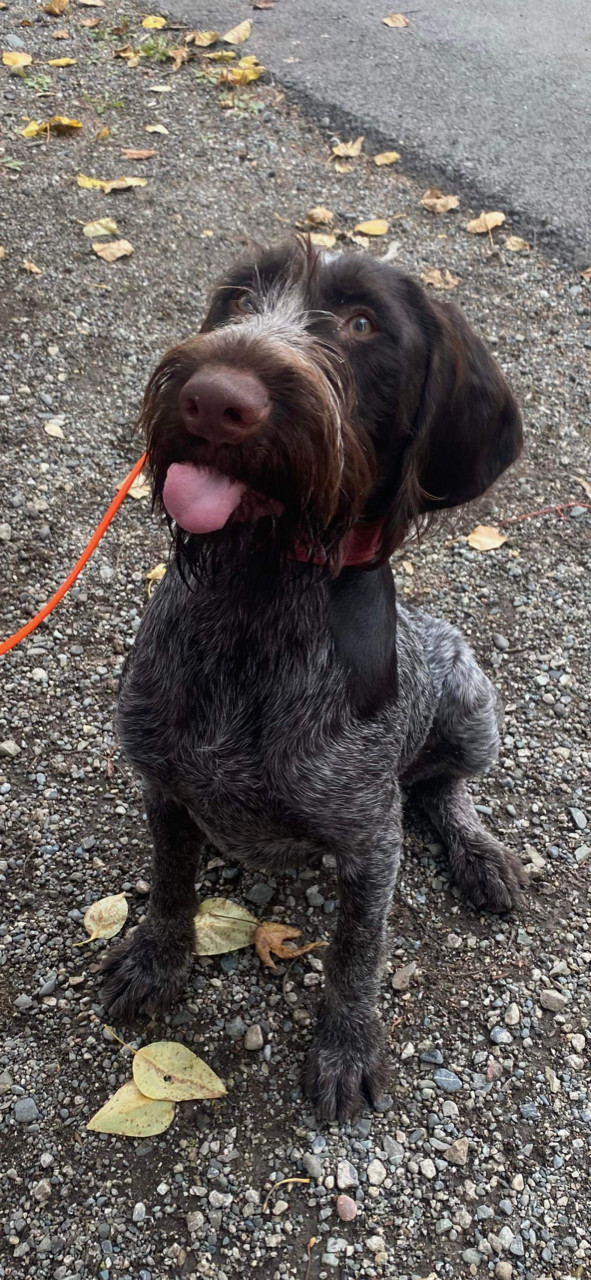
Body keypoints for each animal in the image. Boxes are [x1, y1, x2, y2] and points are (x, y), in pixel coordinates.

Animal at [101, 240, 527, 1121]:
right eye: (237, 299)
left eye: (362, 324)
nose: (212, 400)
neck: (257, 587)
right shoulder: (162, 789)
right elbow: (169, 887)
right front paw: (159, 959)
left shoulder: (370, 841)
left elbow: (355, 952)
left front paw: (344, 1046)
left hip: (471, 695)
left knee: (443, 789)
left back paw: (478, 852)